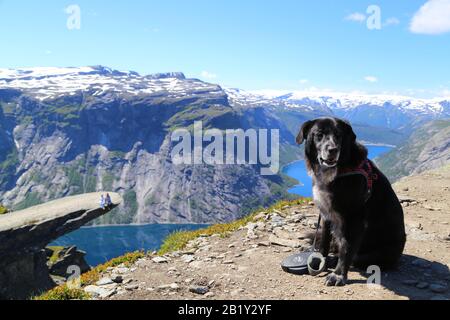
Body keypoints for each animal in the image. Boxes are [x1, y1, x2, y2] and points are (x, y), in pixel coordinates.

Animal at [298, 118, 406, 288]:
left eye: (339, 135)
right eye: (319, 134)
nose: (333, 150)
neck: (338, 171)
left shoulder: (354, 219)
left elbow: (346, 249)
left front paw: (338, 274)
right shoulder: (327, 214)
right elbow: (325, 241)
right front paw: (319, 260)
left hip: (379, 253)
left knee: (354, 257)